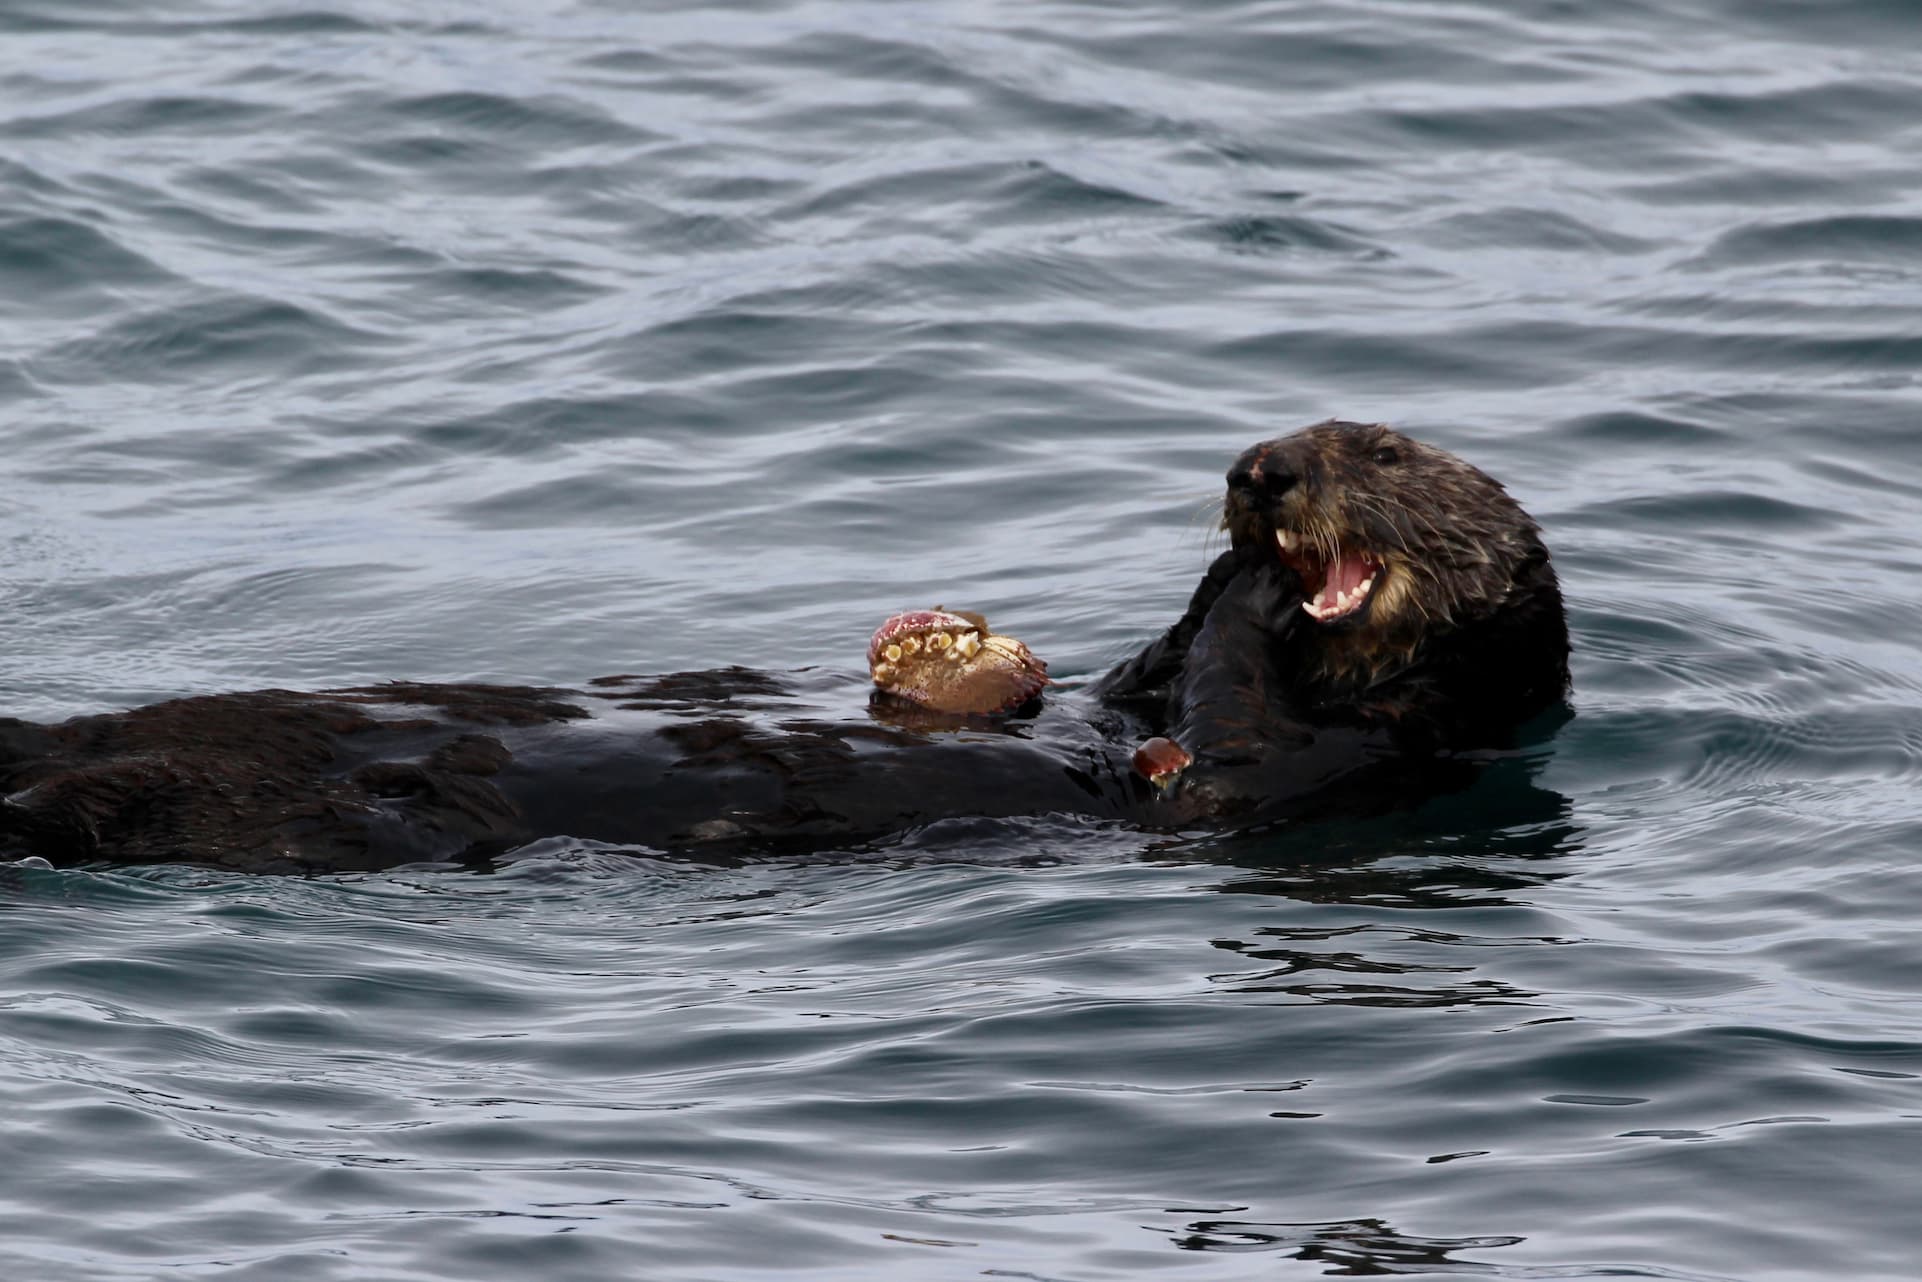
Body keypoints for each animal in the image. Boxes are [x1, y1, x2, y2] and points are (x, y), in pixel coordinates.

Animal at [0, 420, 1560, 872]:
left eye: (1379, 452)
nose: (1261, 471)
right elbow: (1146, 671)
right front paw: (1220, 566)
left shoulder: (1330, 766)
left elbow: (1218, 755)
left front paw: (1255, 592)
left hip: (249, 807)